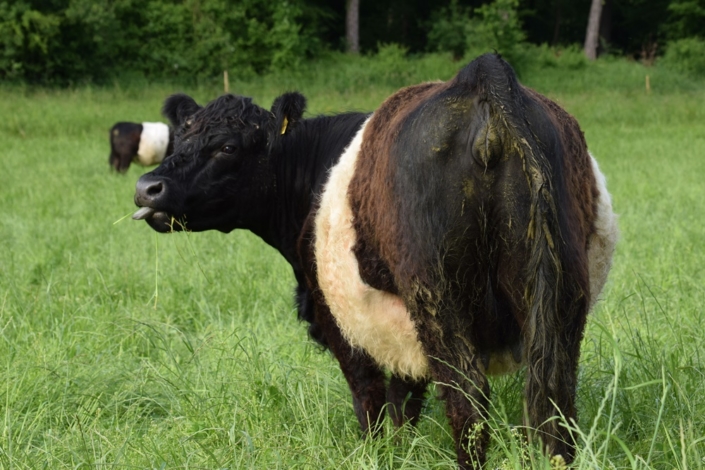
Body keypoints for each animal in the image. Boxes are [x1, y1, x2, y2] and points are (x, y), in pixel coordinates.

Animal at [132, 54, 616, 466]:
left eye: (228, 148)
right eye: (180, 137)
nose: (147, 187)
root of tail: (484, 77)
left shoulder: (340, 318)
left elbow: (370, 400)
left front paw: (376, 455)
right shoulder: (399, 331)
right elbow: (405, 403)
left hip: (438, 293)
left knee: (468, 400)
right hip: (558, 297)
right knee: (553, 400)